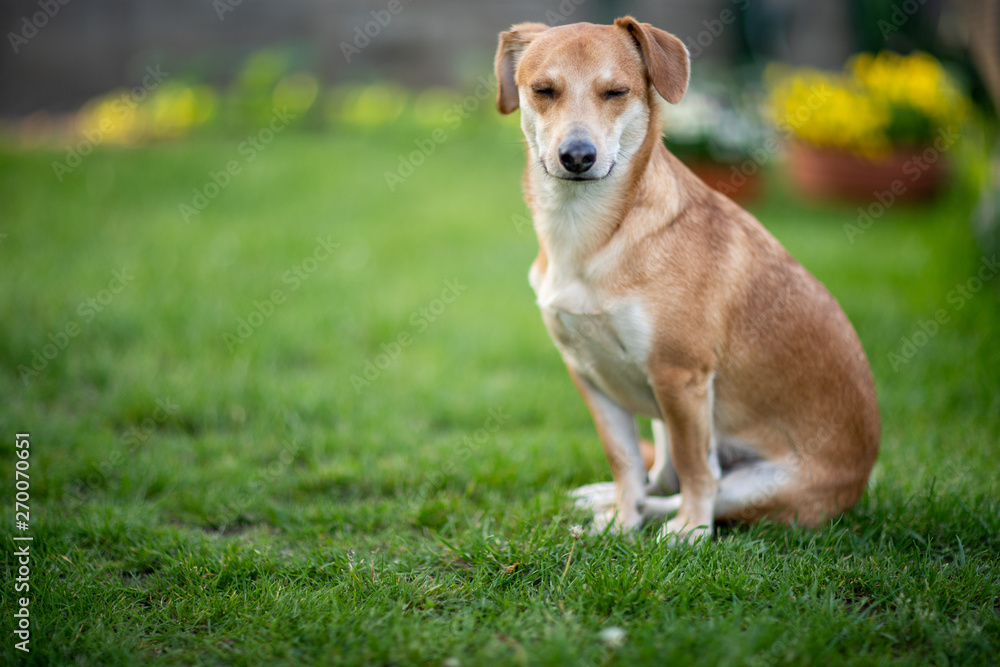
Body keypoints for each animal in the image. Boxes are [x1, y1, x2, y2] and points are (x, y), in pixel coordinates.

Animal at [496, 18, 880, 544]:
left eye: (616, 92)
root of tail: (861, 485)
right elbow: (624, 461)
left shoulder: (680, 376)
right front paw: (619, 521)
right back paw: (612, 503)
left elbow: (696, 469)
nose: (577, 155)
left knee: (707, 485)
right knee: (659, 475)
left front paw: (689, 532)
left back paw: (676, 522)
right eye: (543, 90)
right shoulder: (588, 374)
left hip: (761, 483)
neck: (589, 236)